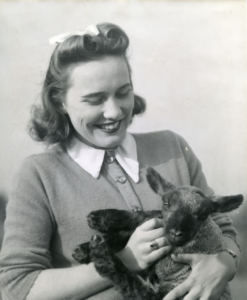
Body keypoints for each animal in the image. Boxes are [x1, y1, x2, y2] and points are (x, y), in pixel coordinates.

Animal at [72, 168, 242, 298]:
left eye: (202, 214)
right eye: (166, 203)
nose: (176, 232)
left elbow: (137, 220)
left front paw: (96, 234)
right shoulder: (159, 222)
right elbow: (141, 217)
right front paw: (93, 230)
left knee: (136, 289)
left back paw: (101, 252)